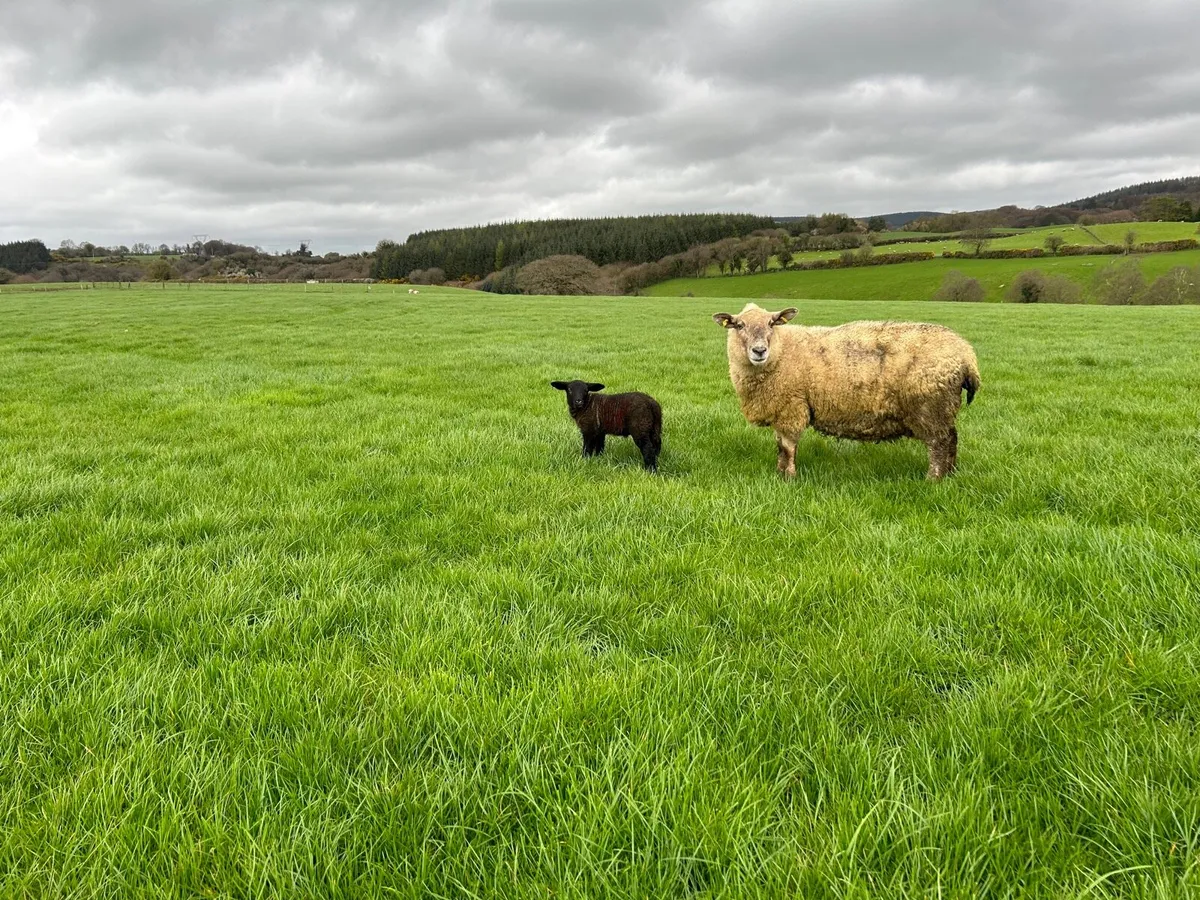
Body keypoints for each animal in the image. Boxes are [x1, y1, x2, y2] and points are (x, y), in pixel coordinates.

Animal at [712, 303, 980, 480]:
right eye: (738, 325)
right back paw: (950, 475)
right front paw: (779, 473)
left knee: (939, 443)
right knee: (952, 439)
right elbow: (780, 446)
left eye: (771, 323)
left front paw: (788, 477)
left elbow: (788, 447)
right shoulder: (781, 410)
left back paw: (933, 480)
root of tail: (966, 354)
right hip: (941, 408)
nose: (759, 351)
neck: (782, 351)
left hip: (931, 407)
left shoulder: (791, 406)